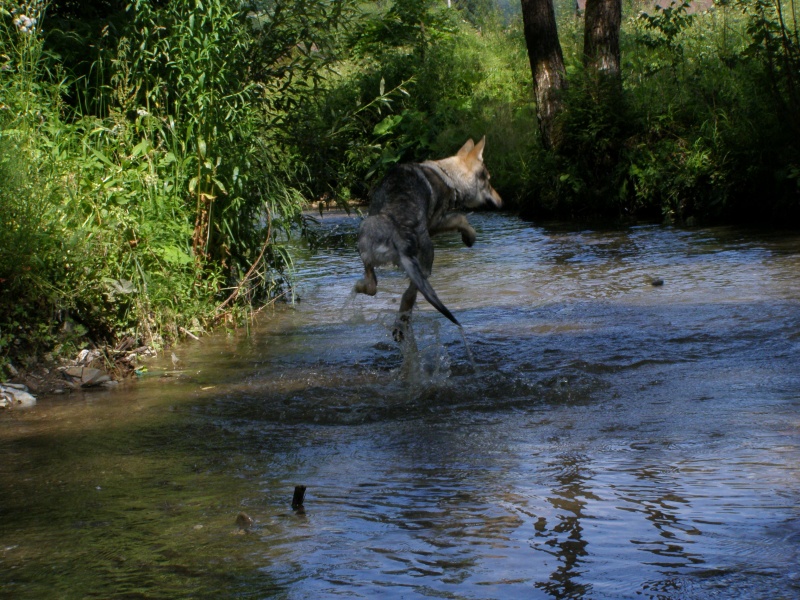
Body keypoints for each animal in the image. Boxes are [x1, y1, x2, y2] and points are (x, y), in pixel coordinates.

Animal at [352, 135, 500, 338]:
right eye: (489, 182)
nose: (501, 202)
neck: (448, 175)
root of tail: (397, 233)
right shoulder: (436, 223)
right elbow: (461, 219)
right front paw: (469, 237)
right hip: (427, 260)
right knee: (408, 295)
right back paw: (401, 325)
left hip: (367, 240)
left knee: (372, 286)